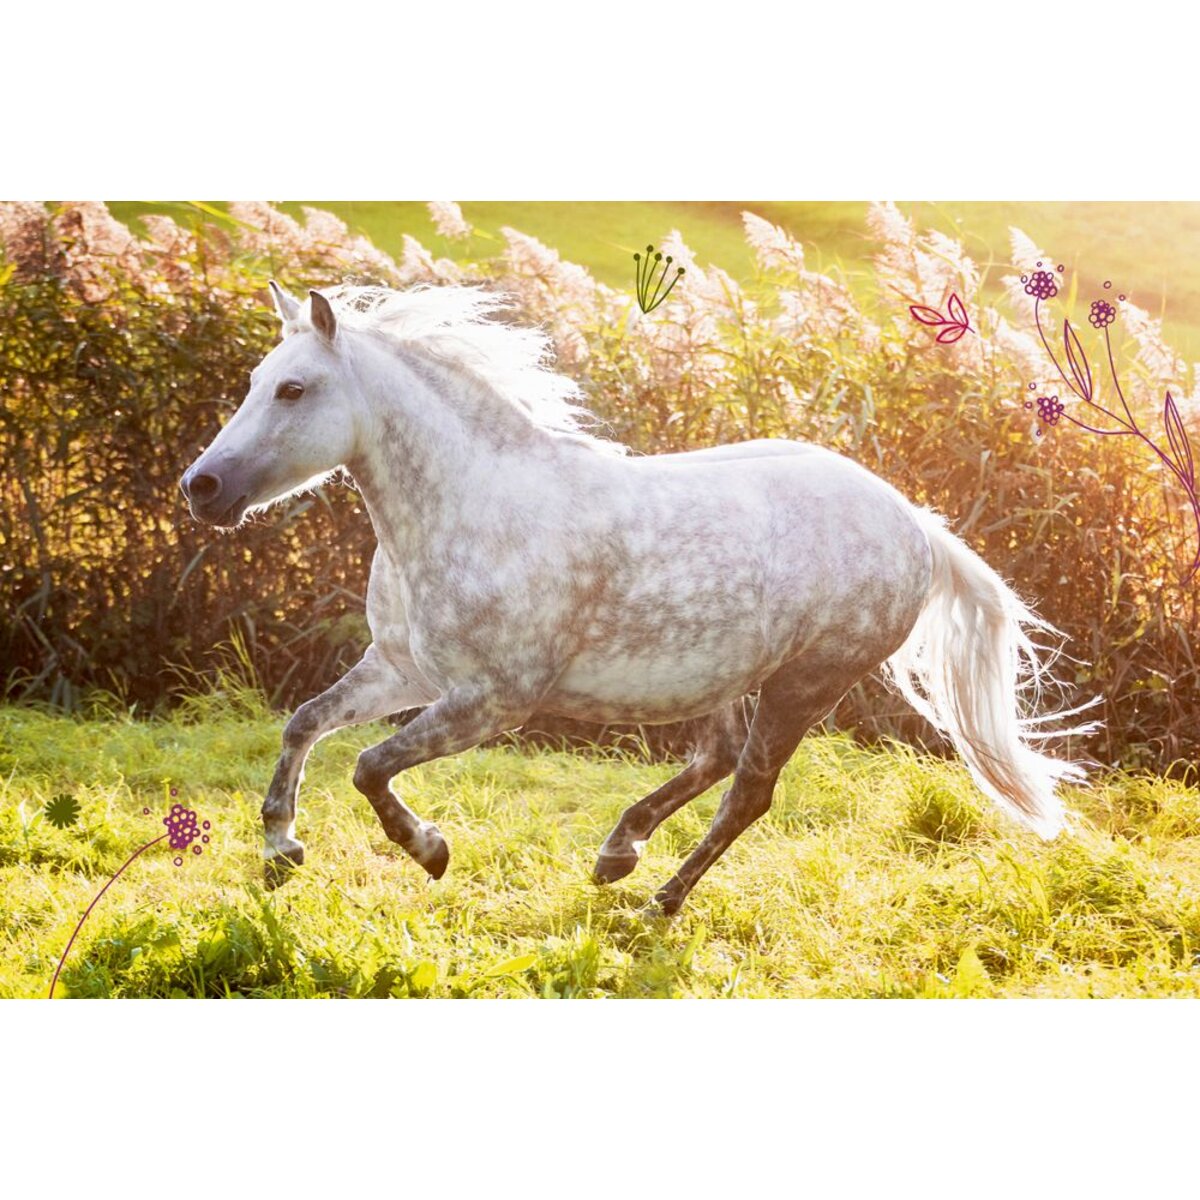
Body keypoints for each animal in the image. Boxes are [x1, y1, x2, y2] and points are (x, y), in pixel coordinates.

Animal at [180, 282, 1091, 915]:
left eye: (293, 390)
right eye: (259, 379)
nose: (202, 488)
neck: (472, 503)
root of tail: (916, 526)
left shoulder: (492, 701)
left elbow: (369, 766)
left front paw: (430, 850)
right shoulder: (402, 669)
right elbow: (304, 723)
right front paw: (281, 847)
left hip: (804, 685)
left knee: (748, 792)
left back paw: (659, 900)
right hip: (721, 675)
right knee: (715, 761)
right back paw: (619, 853)